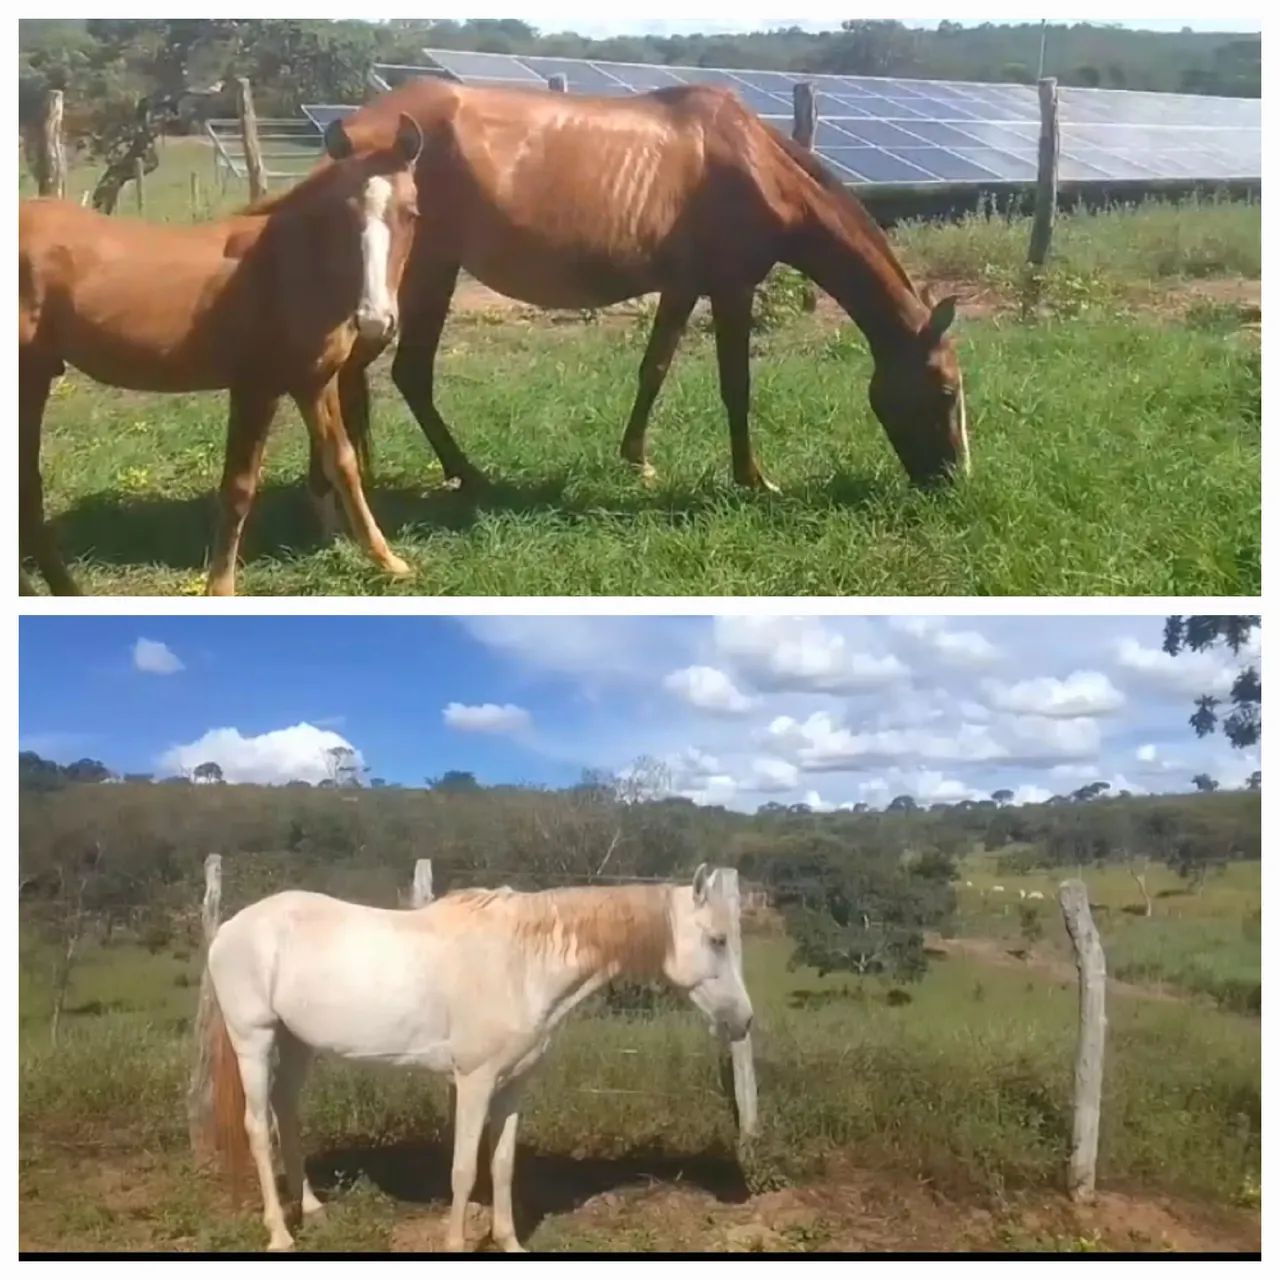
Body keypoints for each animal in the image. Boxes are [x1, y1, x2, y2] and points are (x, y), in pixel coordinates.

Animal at [18, 113, 423, 597]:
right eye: (343, 214)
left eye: (411, 213)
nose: (376, 320)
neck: (287, 265)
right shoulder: (256, 387)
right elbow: (239, 487)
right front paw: (221, 587)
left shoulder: (314, 382)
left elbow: (342, 462)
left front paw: (389, 561)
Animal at [200, 867, 753, 1252]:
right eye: (717, 940)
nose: (743, 1021)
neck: (521, 964)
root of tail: (230, 927)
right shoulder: (473, 1082)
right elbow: (464, 1168)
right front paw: (457, 1243)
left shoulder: (512, 1085)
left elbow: (502, 1164)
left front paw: (509, 1241)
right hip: (254, 1039)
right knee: (257, 1127)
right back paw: (280, 1234)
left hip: (297, 1043)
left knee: (286, 1115)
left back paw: (314, 1211)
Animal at [323, 77, 967, 500]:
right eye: (945, 391)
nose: (955, 480)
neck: (755, 162)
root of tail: (354, 130)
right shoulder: (732, 288)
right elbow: (737, 386)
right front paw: (753, 479)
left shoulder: (683, 288)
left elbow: (653, 369)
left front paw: (637, 459)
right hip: (430, 270)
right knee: (405, 374)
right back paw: (464, 476)